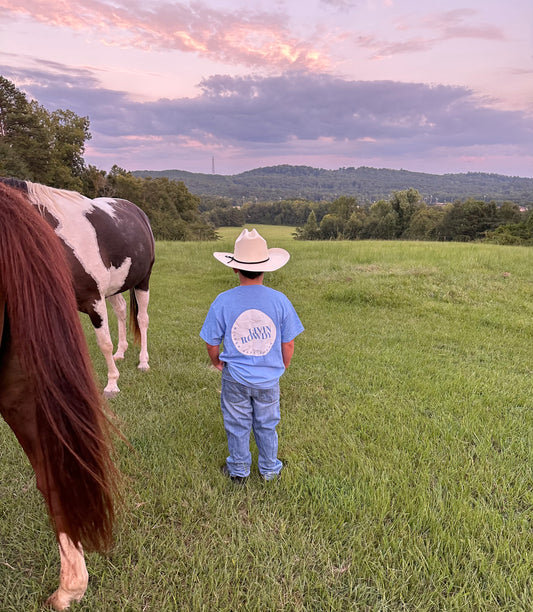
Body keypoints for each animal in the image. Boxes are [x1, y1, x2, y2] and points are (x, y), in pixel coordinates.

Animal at [1, 177, 156, 396]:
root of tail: (137, 211)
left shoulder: (94, 300)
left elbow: (104, 343)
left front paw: (112, 384)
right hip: (114, 288)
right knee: (121, 310)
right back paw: (120, 352)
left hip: (143, 281)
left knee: (142, 319)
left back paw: (143, 362)